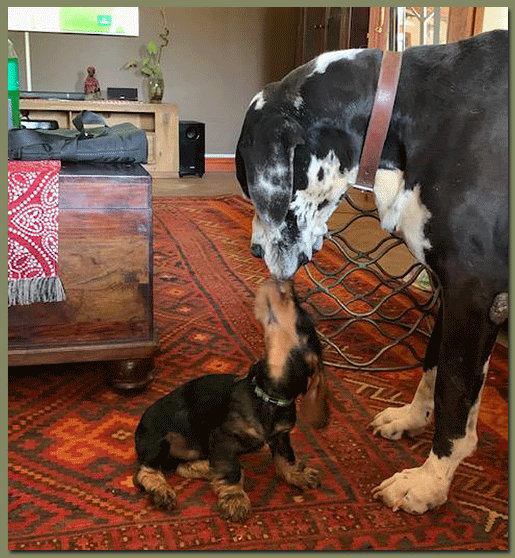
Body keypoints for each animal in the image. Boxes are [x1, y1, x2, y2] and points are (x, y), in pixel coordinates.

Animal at [134, 279, 329, 522]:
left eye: (298, 315)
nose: (284, 283)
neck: (268, 397)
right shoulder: (223, 437)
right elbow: (232, 470)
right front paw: (235, 498)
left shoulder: (281, 435)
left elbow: (286, 457)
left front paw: (297, 474)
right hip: (158, 440)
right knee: (146, 471)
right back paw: (162, 490)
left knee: (181, 466)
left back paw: (207, 468)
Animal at [235, 30, 508, 514]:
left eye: (251, 189)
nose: (252, 249)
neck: (406, 110)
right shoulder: (448, 291)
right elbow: (434, 367)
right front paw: (412, 418)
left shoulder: (473, 295)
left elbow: (454, 392)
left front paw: (430, 481)